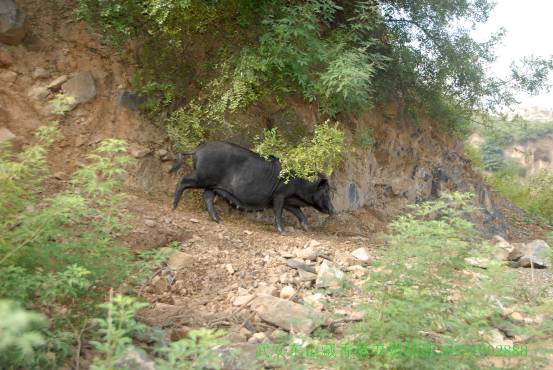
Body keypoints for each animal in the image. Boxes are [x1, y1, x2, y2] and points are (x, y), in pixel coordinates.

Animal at [168, 140, 334, 233]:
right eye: (326, 191)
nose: (334, 211)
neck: (300, 183)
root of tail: (197, 150)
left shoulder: (290, 201)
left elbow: (300, 214)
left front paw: (307, 229)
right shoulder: (279, 195)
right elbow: (278, 213)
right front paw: (283, 232)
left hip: (212, 184)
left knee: (207, 197)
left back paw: (219, 220)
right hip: (202, 177)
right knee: (183, 181)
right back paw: (174, 207)